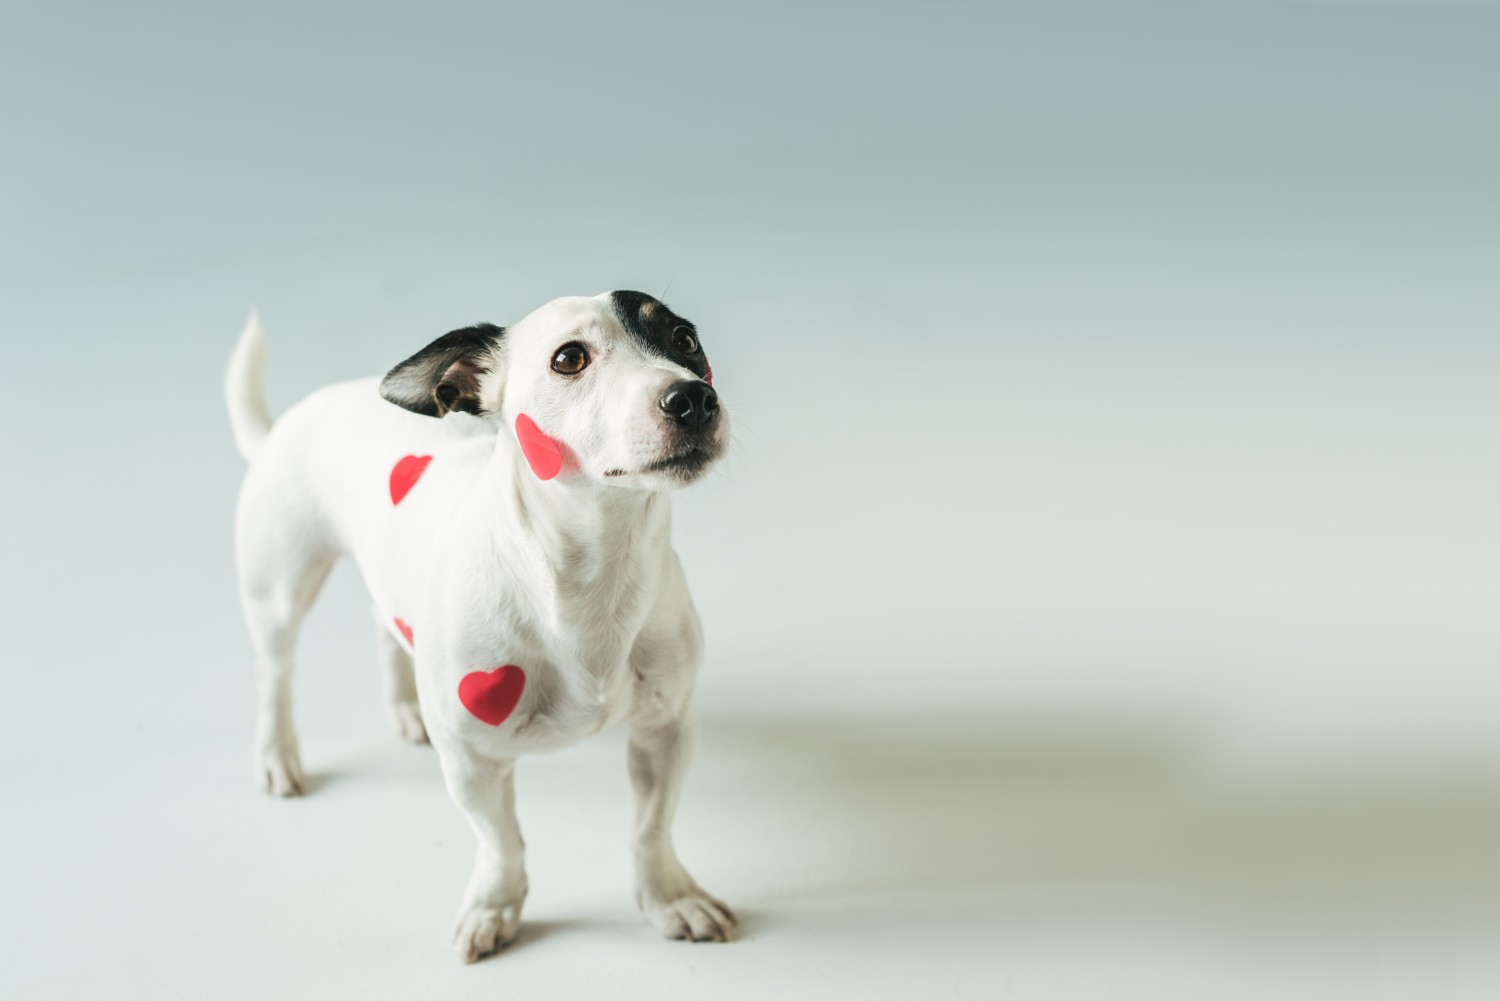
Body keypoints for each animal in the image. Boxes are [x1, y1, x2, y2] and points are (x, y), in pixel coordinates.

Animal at [225, 291, 735, 960]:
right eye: (569, 358)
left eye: (684, 340)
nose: (692, 398)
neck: (593, 571)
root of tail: (288, 421)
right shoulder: (472, 761)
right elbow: (501, 842)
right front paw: (496, 904)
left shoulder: (667, 731)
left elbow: (650, 829)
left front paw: (668, 896)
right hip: (280, 590)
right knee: (275, 674)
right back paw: (277, 753)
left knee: (385, 624)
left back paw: (405, 708)